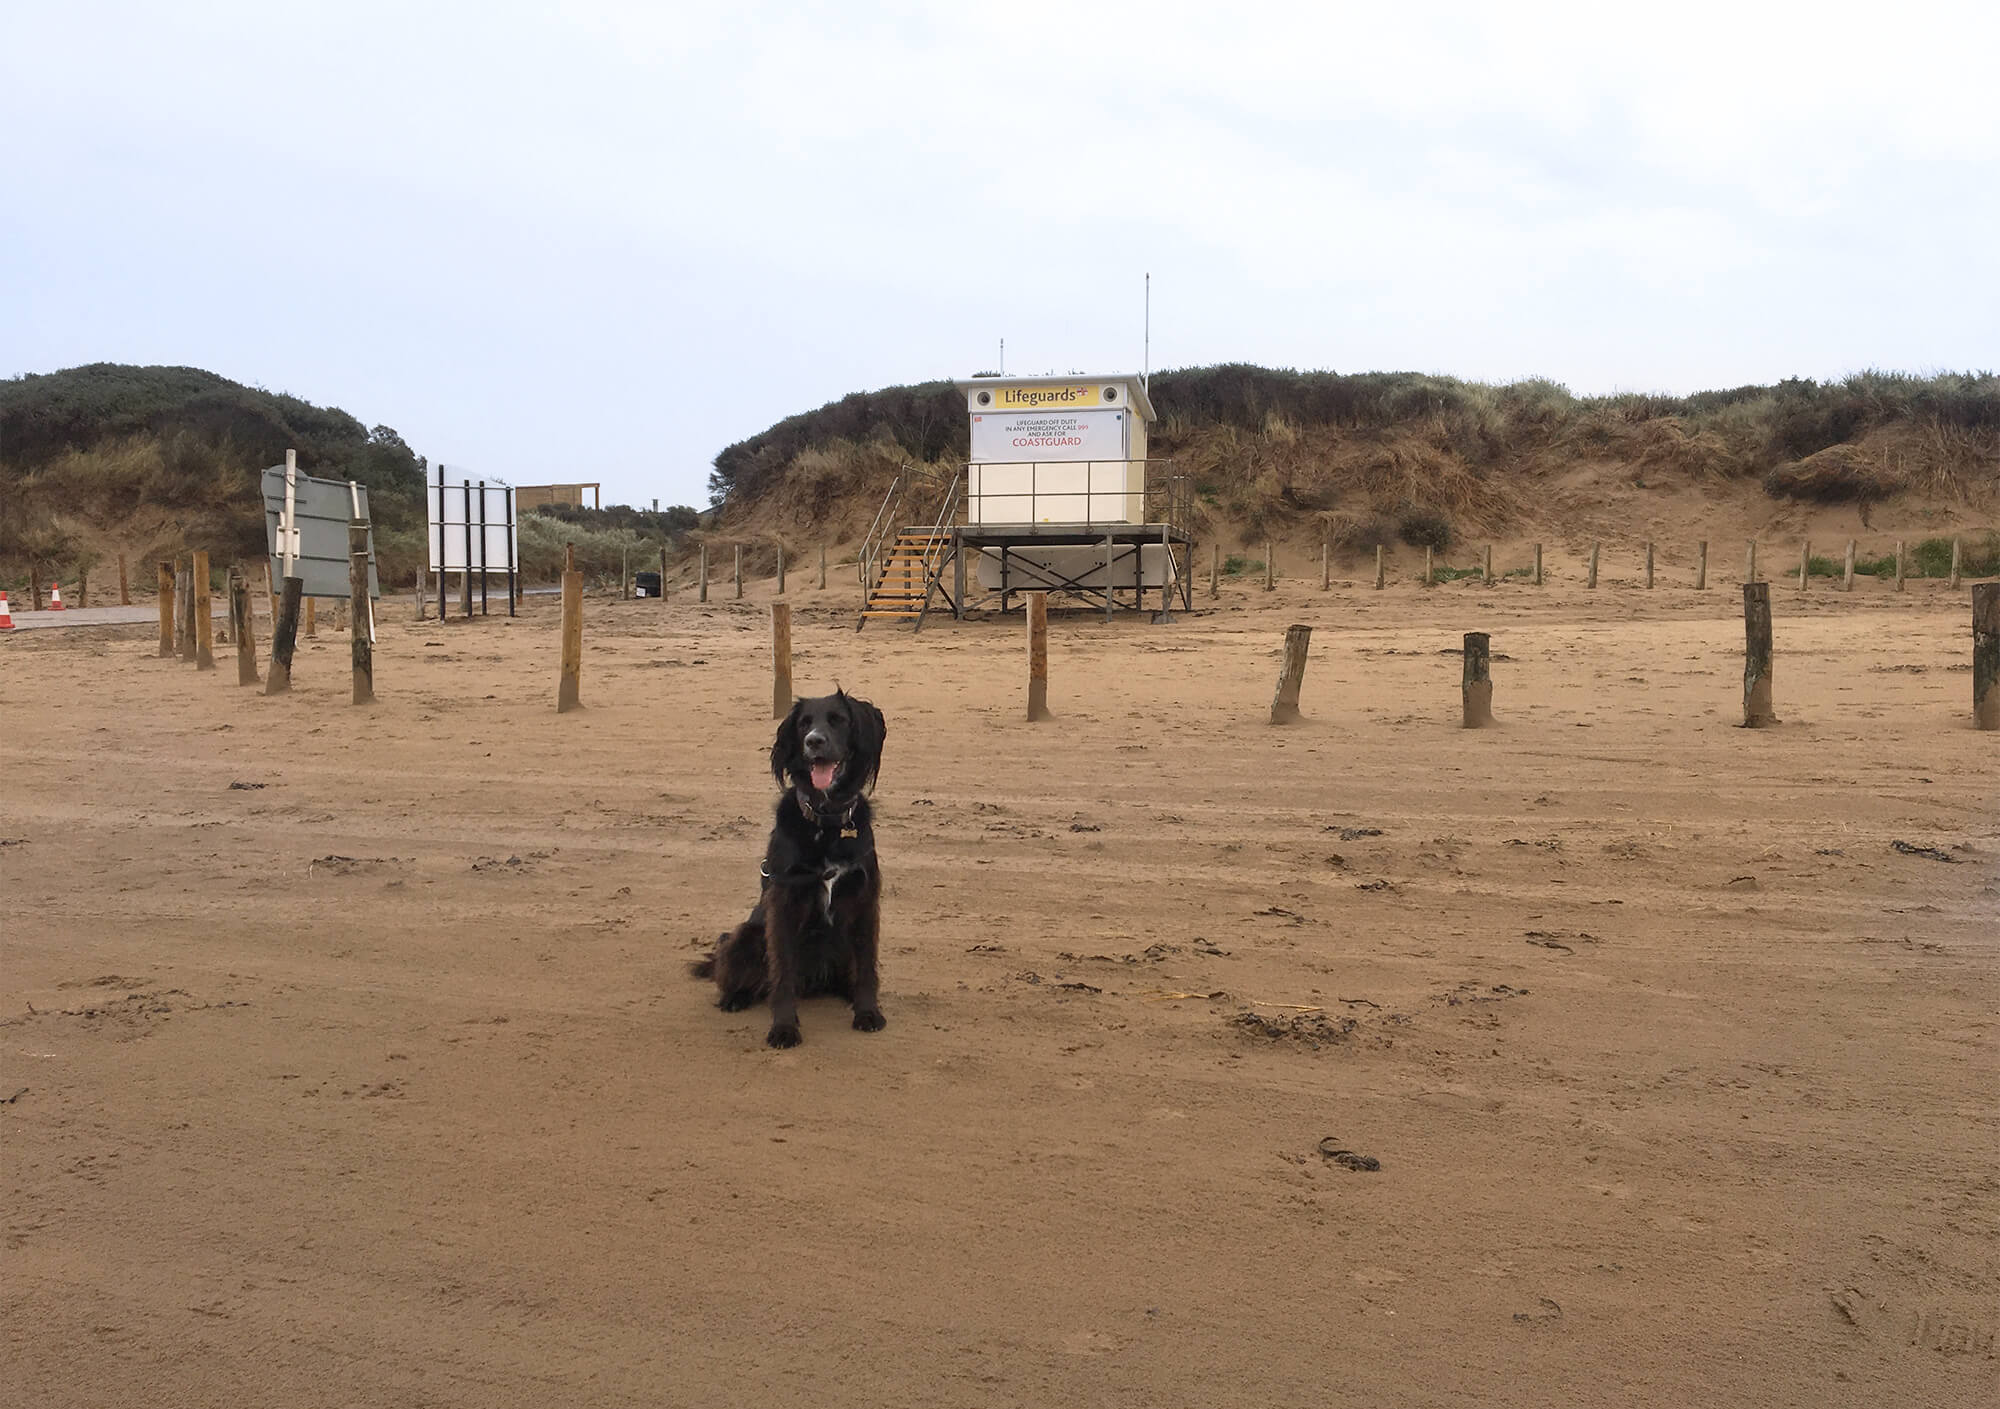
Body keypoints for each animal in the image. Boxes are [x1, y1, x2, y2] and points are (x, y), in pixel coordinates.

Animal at [692, 692, 888, 1048]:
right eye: (803, 724)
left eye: (838, 720)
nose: (814, 741)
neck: (827, 823)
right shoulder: (784, 903)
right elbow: (781, 973)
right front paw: (783, 1027)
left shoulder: (865, 900)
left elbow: (868, 966)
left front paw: (868, 1012)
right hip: (745, 935)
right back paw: (734, 998)